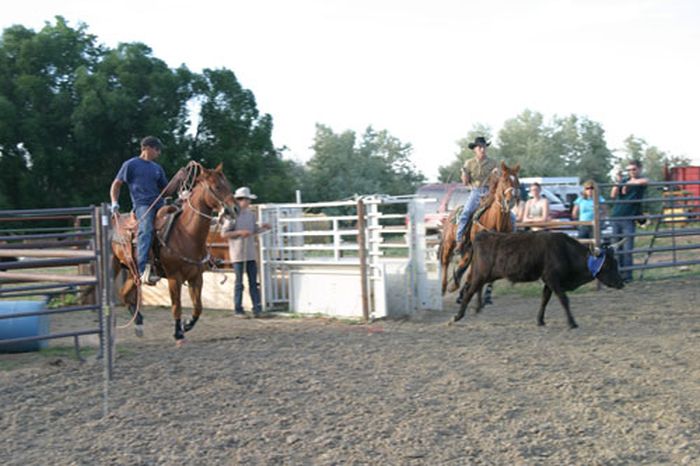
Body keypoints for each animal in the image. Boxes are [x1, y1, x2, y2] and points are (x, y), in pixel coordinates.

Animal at [112, 163, 237, 342]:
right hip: (118, 267)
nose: (235, 208)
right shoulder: (174, 277)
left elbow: (198, 307)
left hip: (132, 272)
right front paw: (178, 332)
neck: (186, 233)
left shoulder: (196, 277)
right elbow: (176, 306)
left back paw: (139, 324)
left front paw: (187, 324)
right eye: (216, 187)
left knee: (125, 294)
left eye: (228, 185)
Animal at [438, 162, 520, 294]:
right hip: (449, 243)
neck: (496, 221)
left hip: (467, 248)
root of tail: (451, 213)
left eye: (517, 180)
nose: (511, 201)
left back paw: (456, 285)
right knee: (445, 261)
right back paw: (444, 287)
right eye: (505, 180)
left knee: (463, 263)